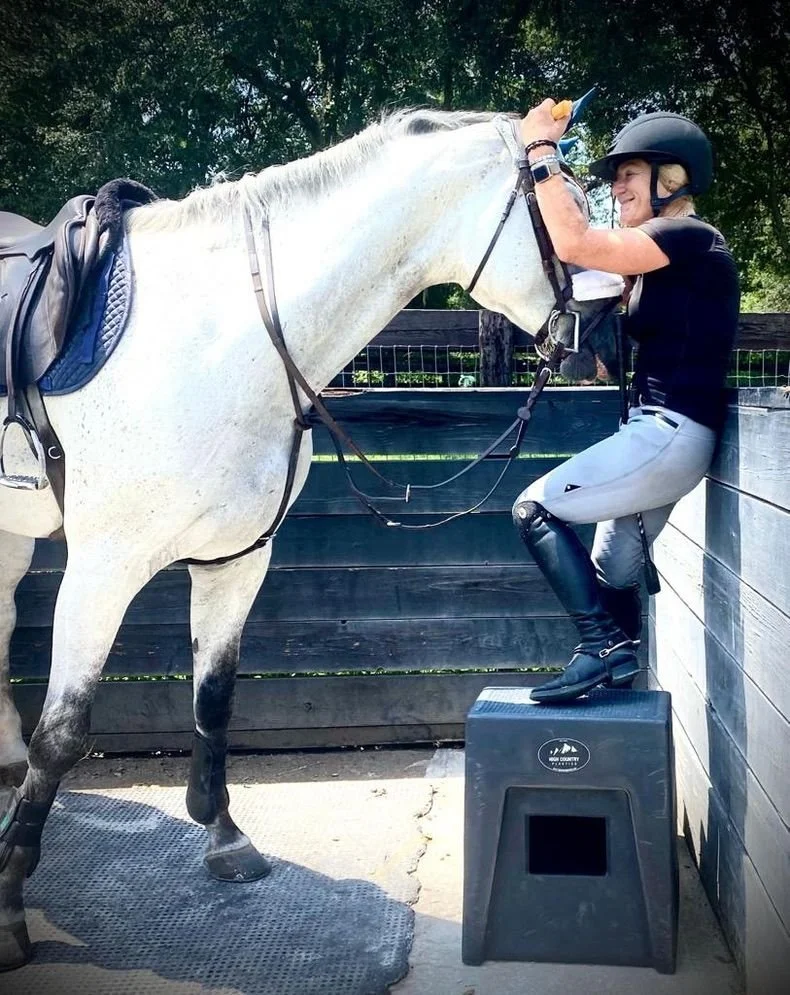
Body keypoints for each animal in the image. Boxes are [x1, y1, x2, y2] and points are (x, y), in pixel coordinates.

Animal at [0, 108, 607, 970]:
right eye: (570, 207)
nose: (602, 329)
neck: (221, 340)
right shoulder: (102, 571)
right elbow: (62, 735)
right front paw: (10, 901)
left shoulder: (236, 559)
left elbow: (215, 698)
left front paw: (223, 836)